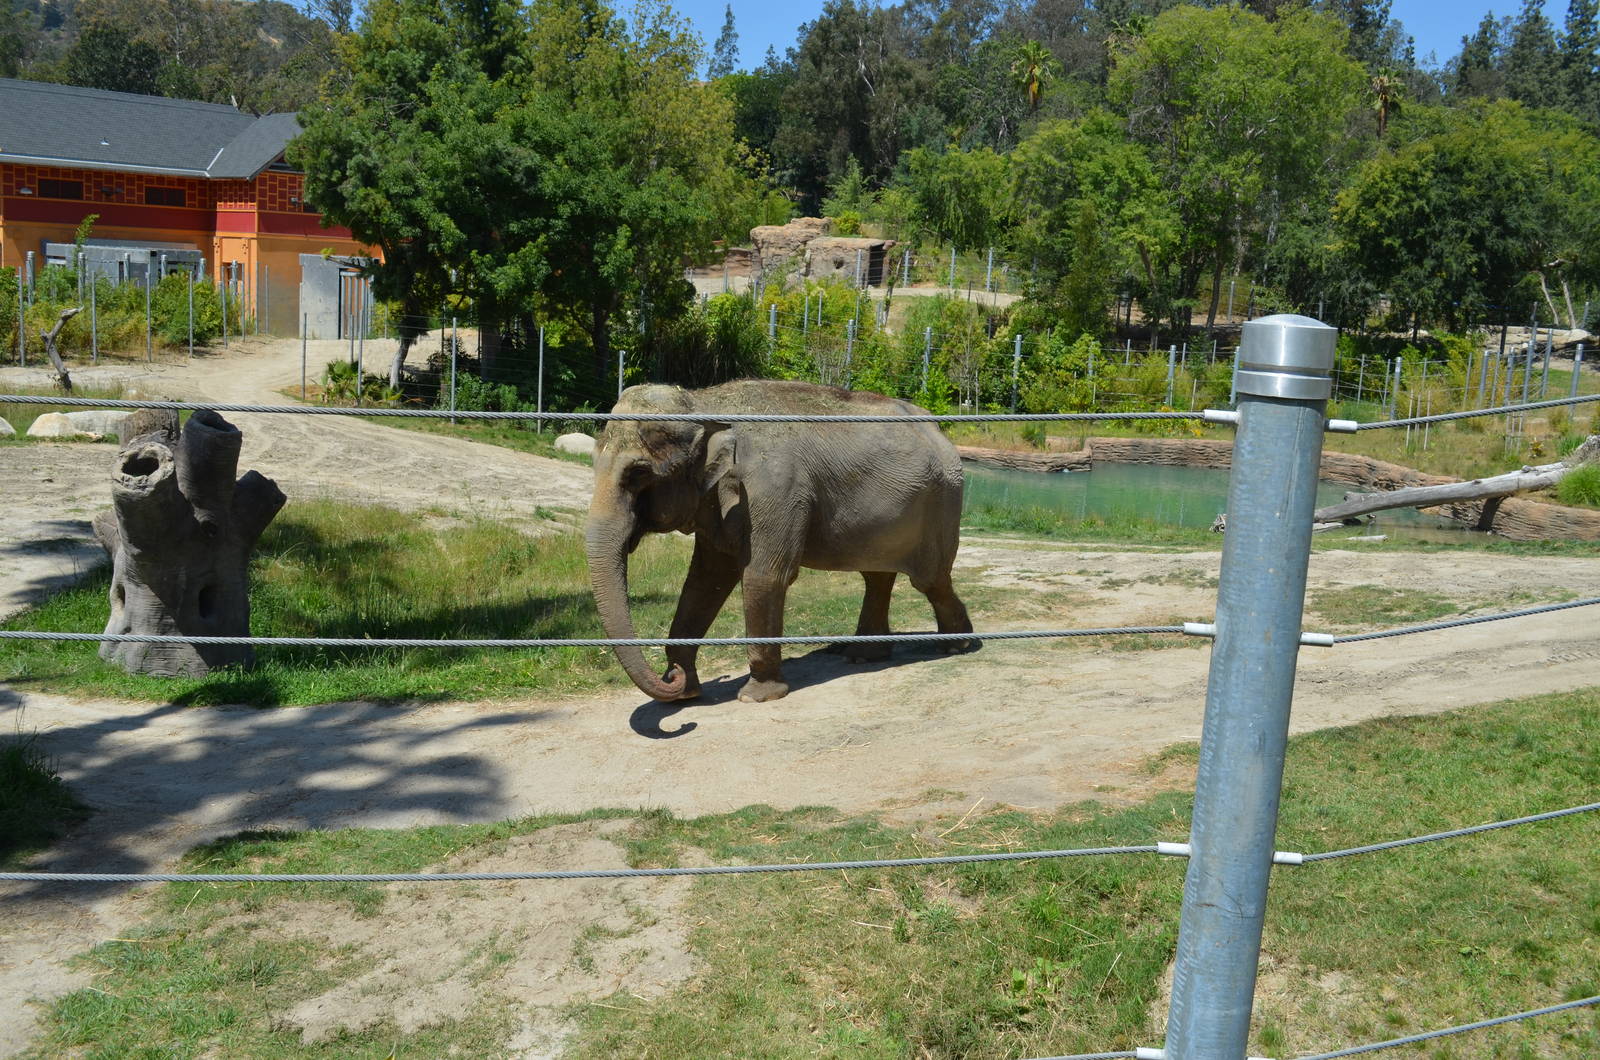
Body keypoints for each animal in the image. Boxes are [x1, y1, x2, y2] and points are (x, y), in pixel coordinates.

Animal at [585, 379, 974, 703]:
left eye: (638, 474)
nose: (672, 678)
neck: (703, 401)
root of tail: (939, 431)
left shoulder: (771, 491)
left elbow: (763, 577)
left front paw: (756, 696)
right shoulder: (717, 505)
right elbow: (704, 582)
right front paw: (686, 692)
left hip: (941, 502)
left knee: (931, 580)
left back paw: (957, 646)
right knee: (877, 576)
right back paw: (864, 654)